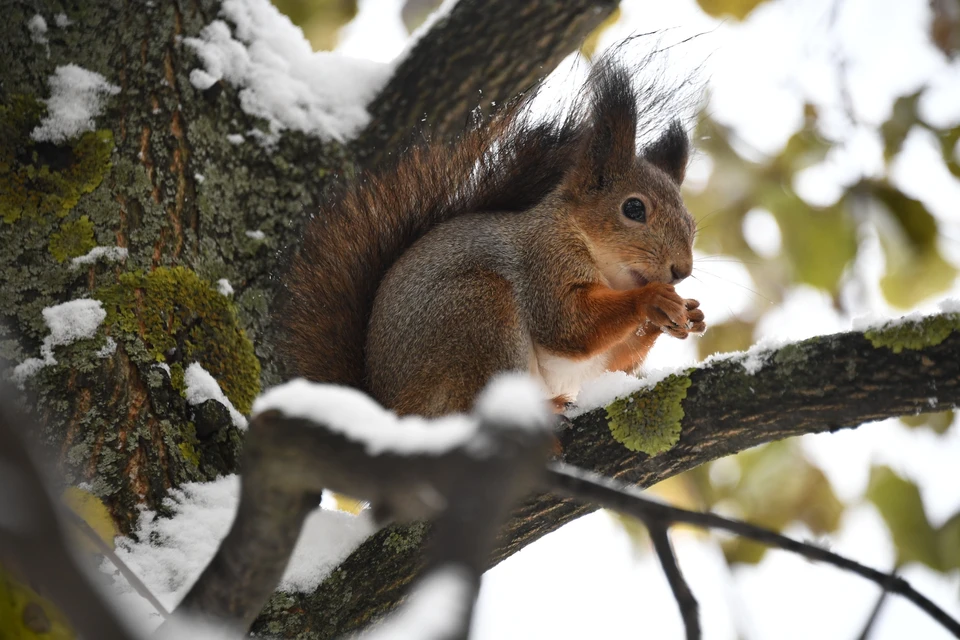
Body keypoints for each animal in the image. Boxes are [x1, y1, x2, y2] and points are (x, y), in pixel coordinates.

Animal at [278, 57, 704, 418]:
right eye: (634, 209)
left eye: (692, 224)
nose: (681, 271)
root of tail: (390, 410)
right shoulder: (542, 262)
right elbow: (569, 325)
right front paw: (651, 299)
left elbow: (611, 356)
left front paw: (685, 315)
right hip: (476, 315)